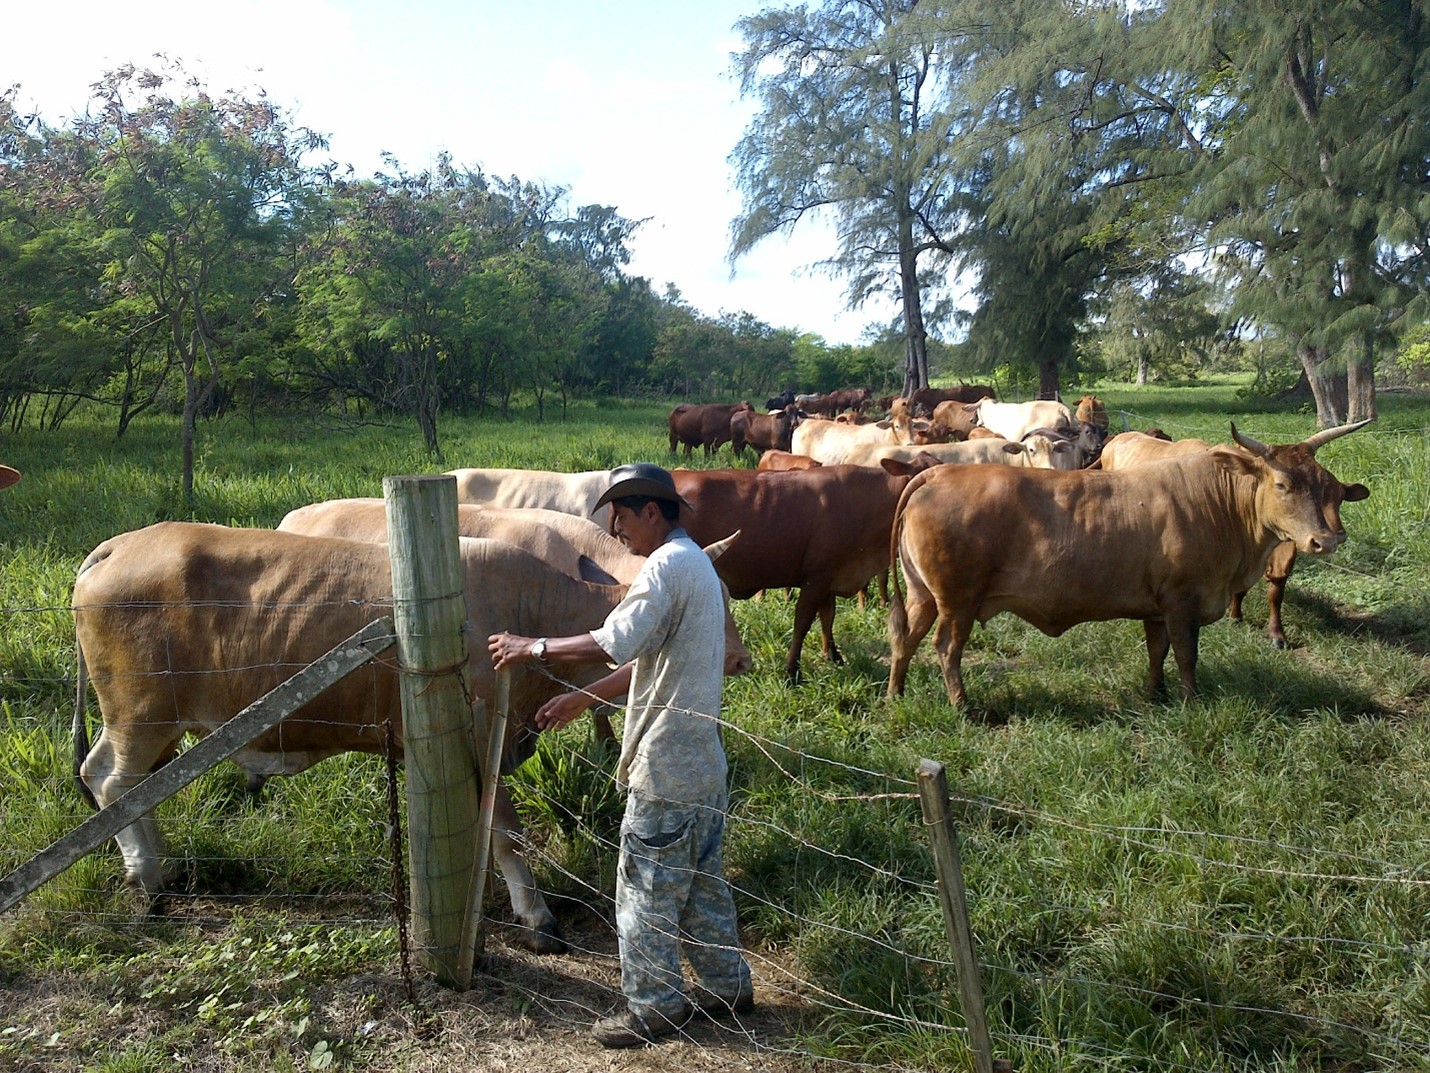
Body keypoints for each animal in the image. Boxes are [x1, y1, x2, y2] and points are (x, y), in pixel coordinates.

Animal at [72, 520, 749, 949]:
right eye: (711, 597)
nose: (738, 659)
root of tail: (116, 545)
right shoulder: (481, 735)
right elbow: (506, 834)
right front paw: (535, 917)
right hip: (140, 716)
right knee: (108, 781)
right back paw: (149, 879)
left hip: (162, 728)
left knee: (133, 791)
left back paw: (157, 870)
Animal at [672, 463, 915, 680]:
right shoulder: (816, 579)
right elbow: (802, 623)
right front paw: (791, 672)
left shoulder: (830, 578)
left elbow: (828, 617)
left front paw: (833, 655)